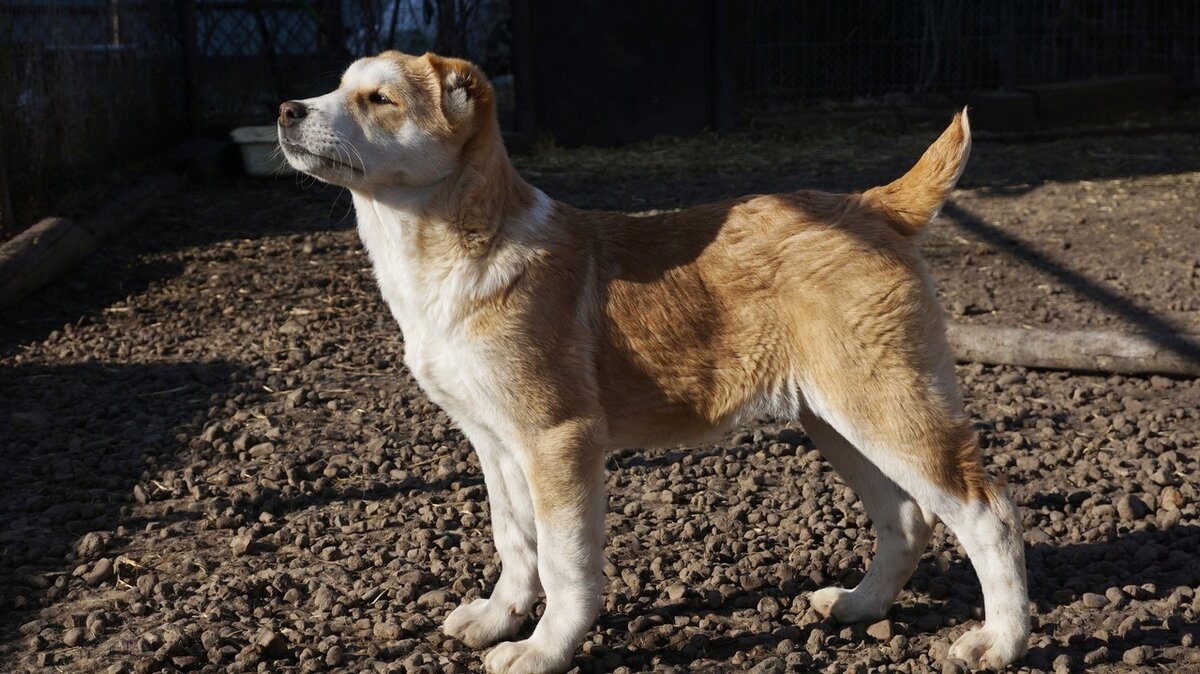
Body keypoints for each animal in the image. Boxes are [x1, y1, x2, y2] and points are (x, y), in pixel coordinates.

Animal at [280, 52, 1032, 671]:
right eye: (337, 88)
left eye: (379, 98)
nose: (287, 110)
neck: (462, 250)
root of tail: (872, 205)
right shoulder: (495, 442)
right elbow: (515, 542)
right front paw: (499, 619)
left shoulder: (559, 440)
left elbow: (565, 562)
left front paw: (545, 650)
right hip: (838, 419)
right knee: (907, 518)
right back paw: (859, 605)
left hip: (886, 409)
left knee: (988, 512)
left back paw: (998, 643)